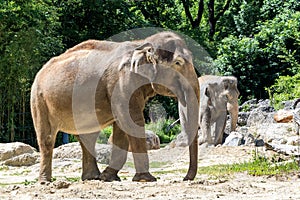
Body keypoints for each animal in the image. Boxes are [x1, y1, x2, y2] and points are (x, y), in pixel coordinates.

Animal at [30, 31, 200, 183]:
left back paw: (92, 178)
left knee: (88, 137)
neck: (142, 44)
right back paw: (45, 182)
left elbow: (123, 126)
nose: (185, 178)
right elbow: (131, 120)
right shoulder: (122, 82)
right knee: (47, 138)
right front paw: (146, 179)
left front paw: (109, 177)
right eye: (178, 63)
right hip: (39, 100)